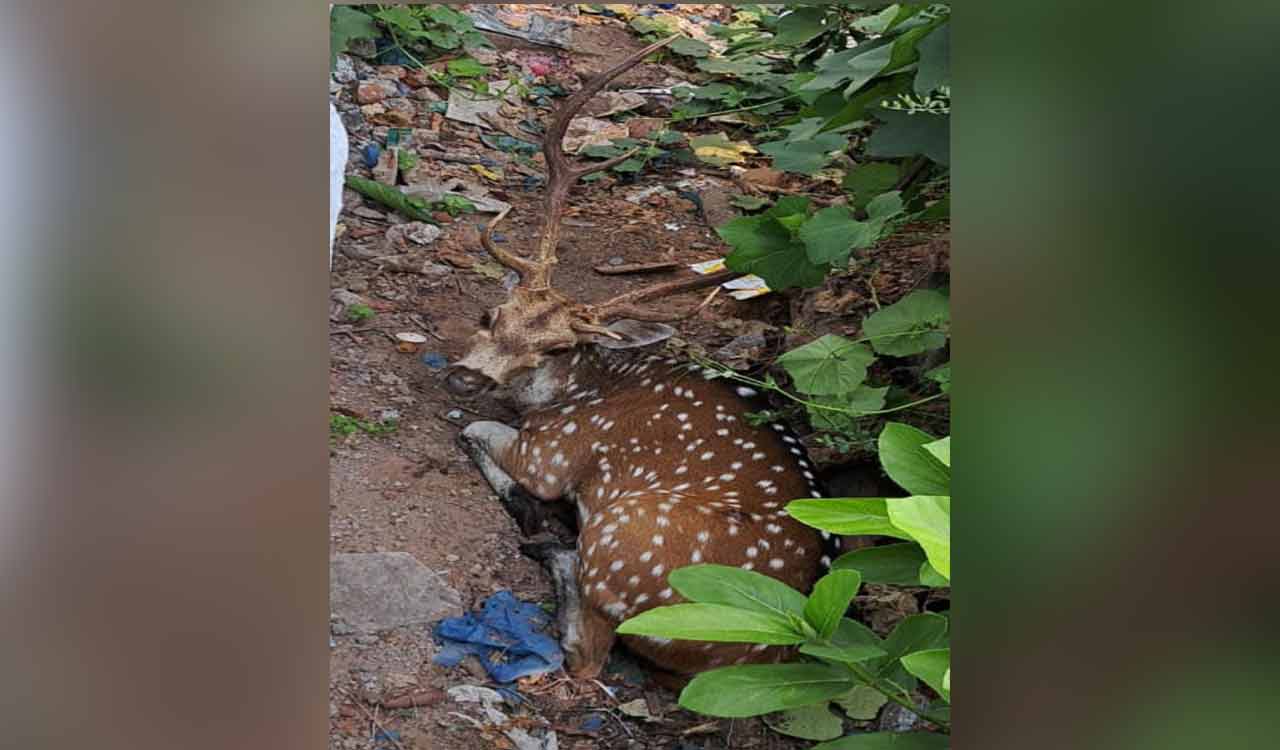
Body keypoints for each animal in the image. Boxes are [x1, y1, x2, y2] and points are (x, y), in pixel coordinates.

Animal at [443, 37, 835, 682]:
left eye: (557, 347)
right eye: (489, 314)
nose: (464, 376)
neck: (577, 388)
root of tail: (764, 649)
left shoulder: (552, 453)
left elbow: (478, 430)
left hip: (630, 534)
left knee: (586, 655)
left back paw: (546, 539)